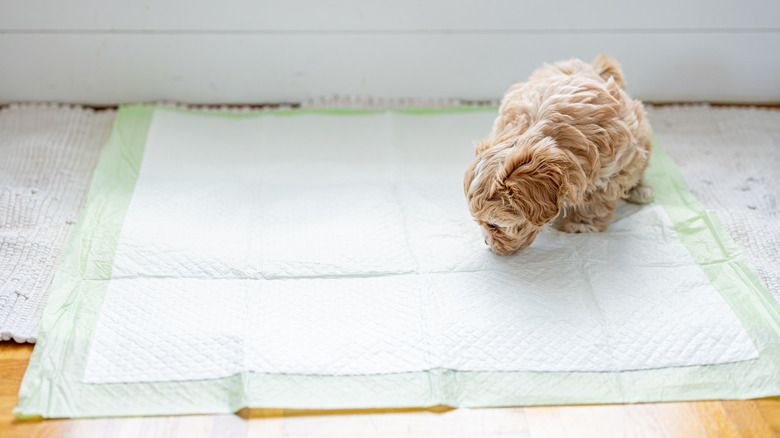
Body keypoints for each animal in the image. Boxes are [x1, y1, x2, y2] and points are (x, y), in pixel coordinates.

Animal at [466, 54, 656, 255]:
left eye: (494, 225)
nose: (487, 243)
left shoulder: (619, 159)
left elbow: (600, 198)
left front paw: (581, 224)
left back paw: (639, 190)